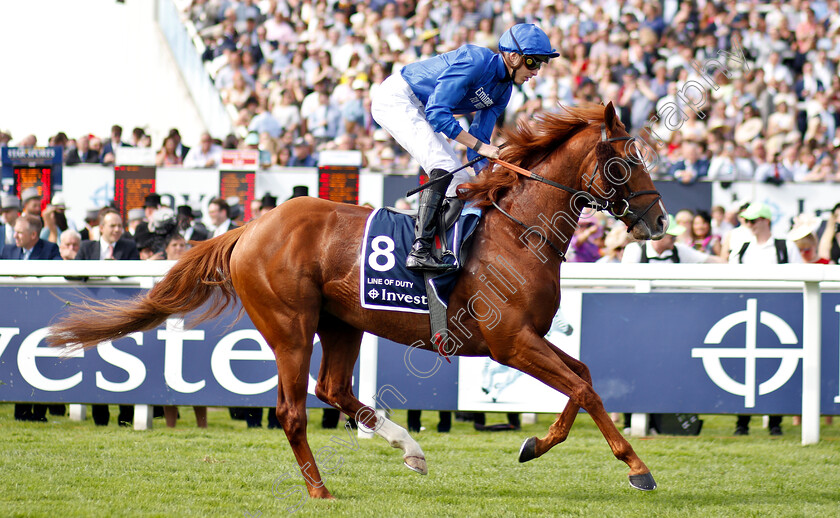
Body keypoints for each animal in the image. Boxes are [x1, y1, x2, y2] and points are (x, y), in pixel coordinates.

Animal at [50, 102, 668, 500]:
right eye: (627, 160)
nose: (659, 220)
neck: (520, 233)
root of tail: (251, 228)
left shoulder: (529, 338)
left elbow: (582, 377)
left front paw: (535, 444)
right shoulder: (509, 342)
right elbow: (584, 389)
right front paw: (637, 469)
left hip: (342, 322)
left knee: (335, 389)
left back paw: (409, 449)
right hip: (290, 326)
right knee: (294, 410)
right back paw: (320, 490)